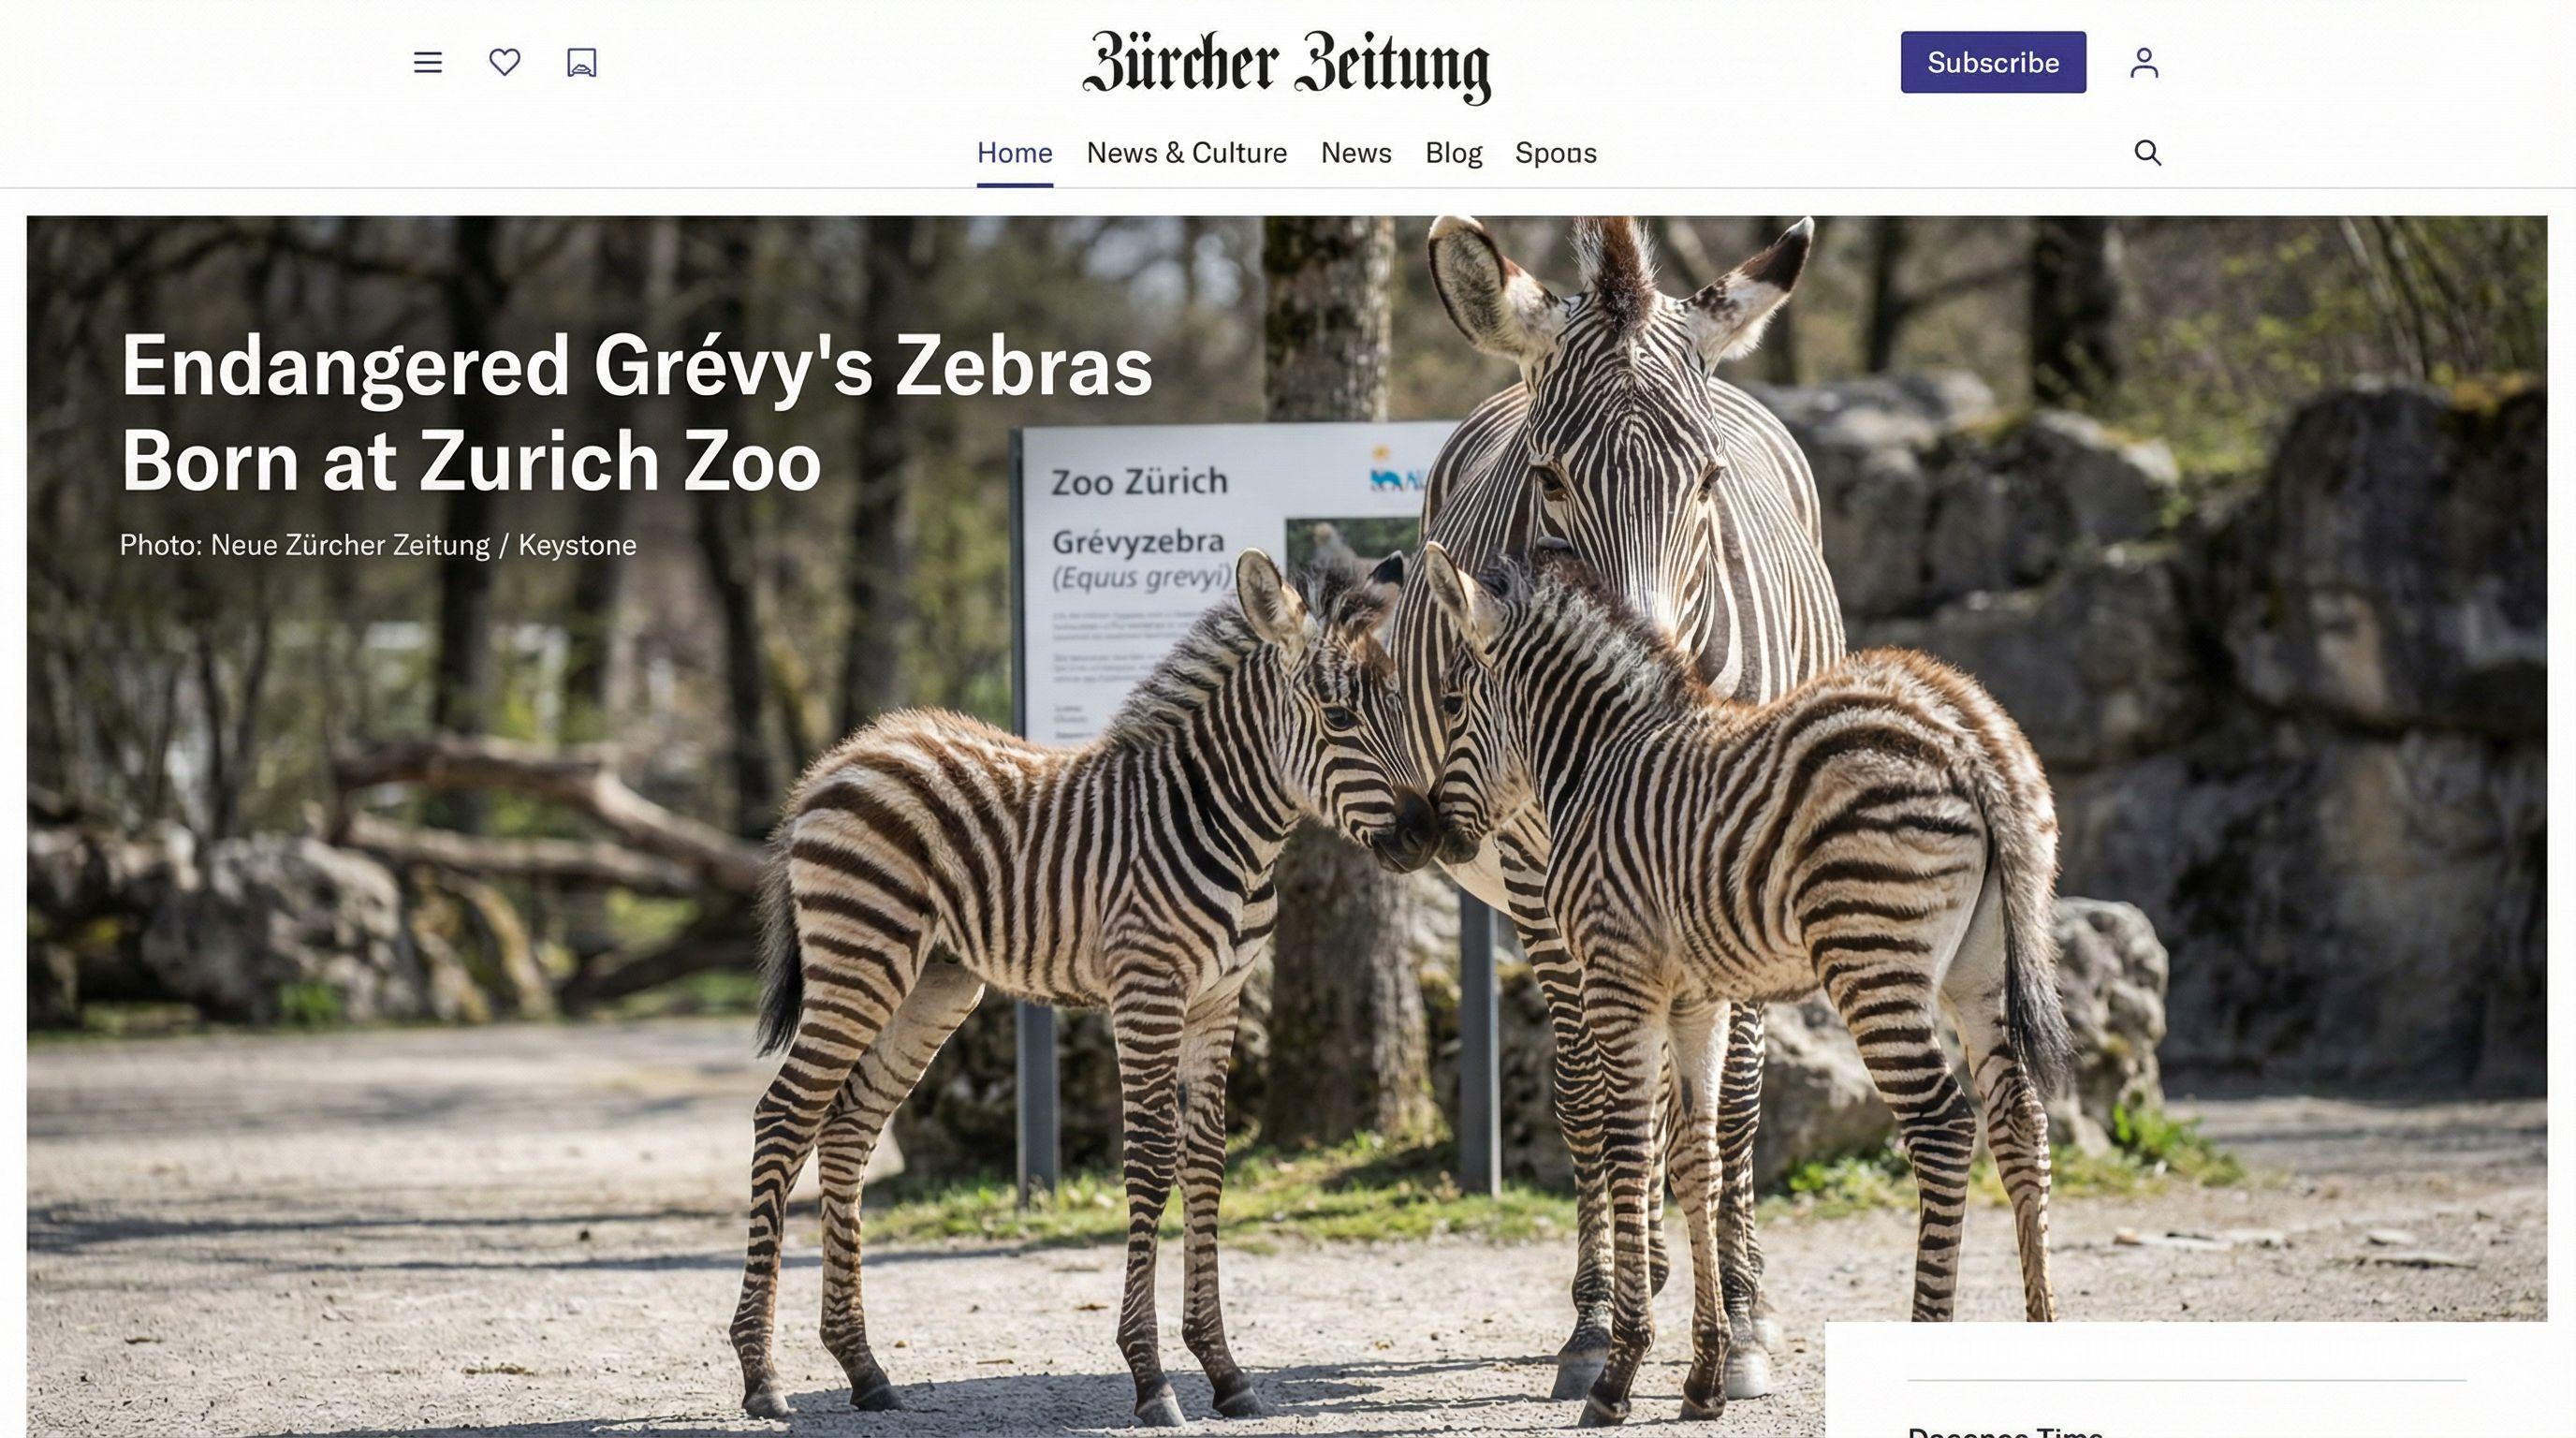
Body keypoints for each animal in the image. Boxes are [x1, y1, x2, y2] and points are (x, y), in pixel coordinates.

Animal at [729, 548, 1439, 1426]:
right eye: (1339, 719)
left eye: (1402, 708)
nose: (1427, 835)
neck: (1229, 828)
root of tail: (844, 756)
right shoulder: (1147, 991)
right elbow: (1151, 1160)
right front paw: (1151, 1378)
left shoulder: (1219, 1002)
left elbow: (1207, 1160)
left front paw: (1225, 1370)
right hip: (861, 960)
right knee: (784, 1117)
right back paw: (761, 1376)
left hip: (933, 984)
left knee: (848, 1128)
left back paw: (863, 1369)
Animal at [1393, 214, 1844, 1400]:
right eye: (1548, 481)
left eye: (1707, 481)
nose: (1639, 682)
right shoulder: (1543, 874)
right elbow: (1600, 1100)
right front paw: (1606, 1328)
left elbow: (1728, 1108)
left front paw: (1739, 1325)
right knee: (1598, 1088)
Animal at [1419, 541, 2071, 1426]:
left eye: (1453, 702)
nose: (1433, 836)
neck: (1598, 757)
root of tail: (1965, 730)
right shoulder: (1699, 997)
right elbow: (1696, 1159)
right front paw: (1703, 1378)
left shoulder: (1620, 978)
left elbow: (1630, 1148)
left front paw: (1619, 1374)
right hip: (1980, 968)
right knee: (2019, 1122)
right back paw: (2041, 1344)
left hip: (1871, 955)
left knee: (1941, 1128)